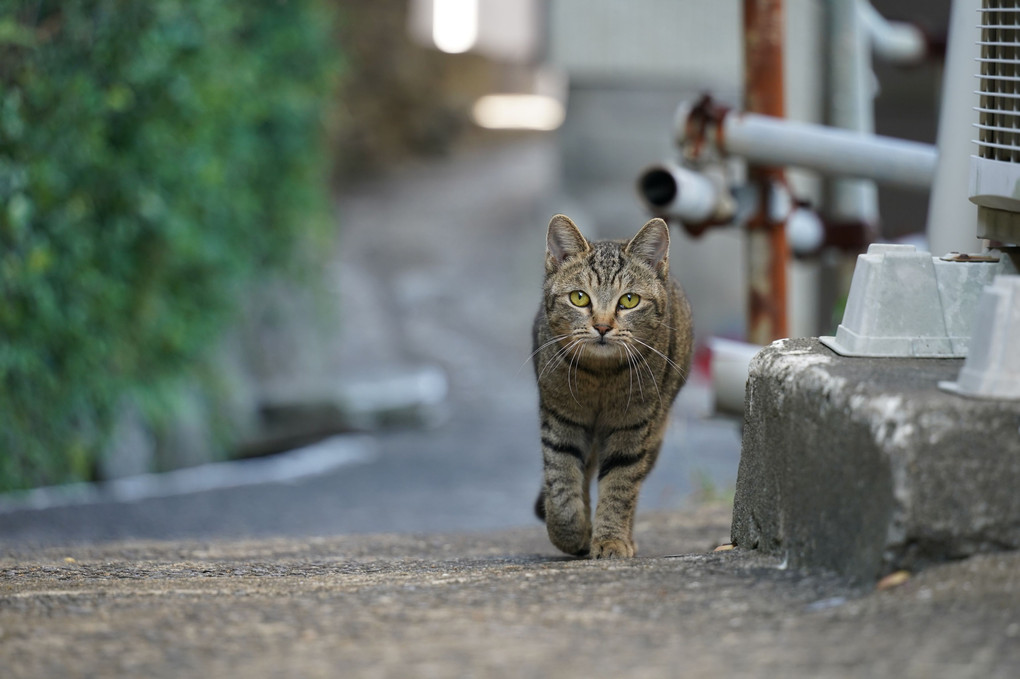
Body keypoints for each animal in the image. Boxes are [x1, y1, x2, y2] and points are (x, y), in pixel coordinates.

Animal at [534, 214, 693, 558]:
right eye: (579, 297)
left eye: (629, 300)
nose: (603, 326)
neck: (601, 376)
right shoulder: (560, 418)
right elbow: (562, 482)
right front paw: (572, 533)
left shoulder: (633, 425)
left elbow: (620, 486)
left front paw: (610, 540)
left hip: (656, 431)